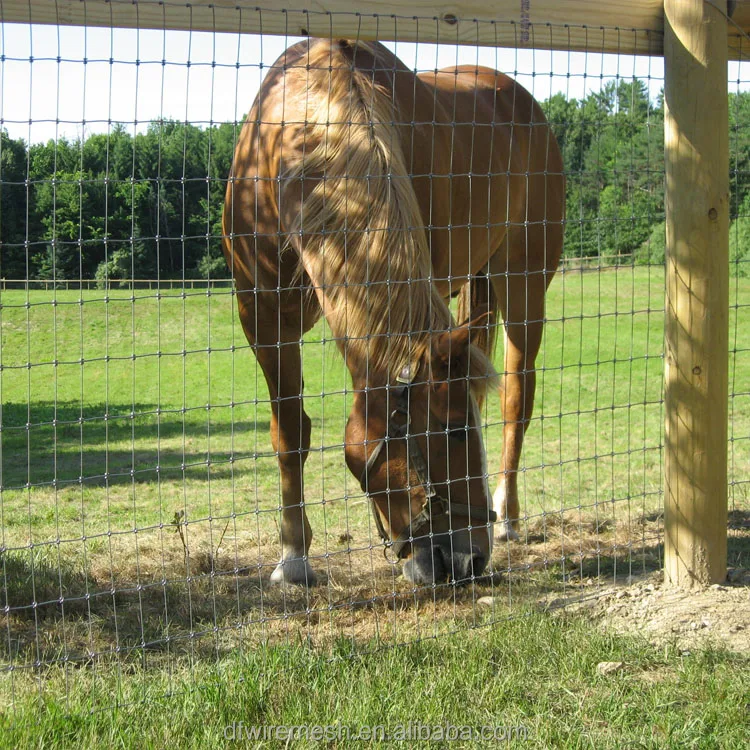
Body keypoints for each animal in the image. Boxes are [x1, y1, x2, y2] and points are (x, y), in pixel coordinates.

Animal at [222, 38, 565, 587]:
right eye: (451, 431)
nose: (469, 561)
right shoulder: (263, 317)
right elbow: (289, 432)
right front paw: (293, 557)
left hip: (524, 286)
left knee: (517, 398)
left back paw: (509, 515)